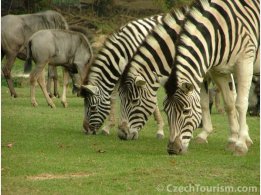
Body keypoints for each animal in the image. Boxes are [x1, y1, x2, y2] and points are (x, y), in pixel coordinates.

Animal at [162, 0, 258, 155]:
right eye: (166, 110)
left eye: (186, 111)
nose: (172, 150)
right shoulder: (219, 71)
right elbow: (229, 104)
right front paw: (232, 140)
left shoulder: (245, 63)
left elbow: (240, 104)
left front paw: (241, 144)